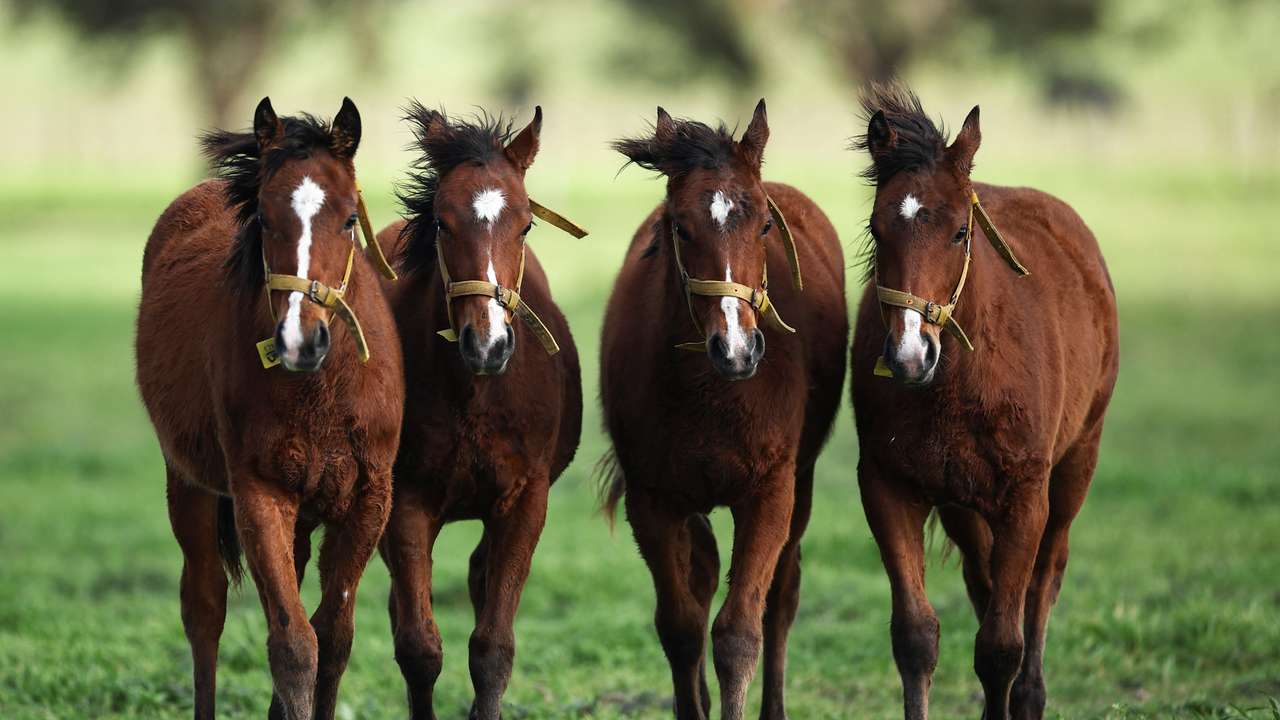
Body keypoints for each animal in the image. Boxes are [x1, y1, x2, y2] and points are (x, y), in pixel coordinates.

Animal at [135, 97, 404, 720]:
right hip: (189, 484)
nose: (299, 341)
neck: (321, 393)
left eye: (349, 219)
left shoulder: (368, 500)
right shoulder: (259, 493)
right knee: (204, 608)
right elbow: (294, 644)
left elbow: (334, 637)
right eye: (262, 215)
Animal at [372, 103, 583, 720]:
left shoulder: (524, 500)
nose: (487, 344)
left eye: (527, 224)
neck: (476, 394)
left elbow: (492, 647)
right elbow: (418, 645)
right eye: (443, 223)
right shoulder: (407, 502)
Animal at [599, 100, 849, 720]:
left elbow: (738, 634)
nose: (736, 348)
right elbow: (681, 626)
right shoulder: (653, 501)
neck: (713, 394)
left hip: (801, 486)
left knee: (781, 596)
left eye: (763, 225)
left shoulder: (769, 494)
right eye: (680, 226)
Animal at [848, 83, 1119, 720]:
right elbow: (916, 637)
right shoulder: (888, 487)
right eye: (876, 228)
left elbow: (1000, 646)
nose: (909, 355)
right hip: (962, 505)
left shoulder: (1025, 498)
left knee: (1044, 581)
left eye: (959, 232)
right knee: (984, 580)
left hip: (1075, 468)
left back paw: (1032, 695)